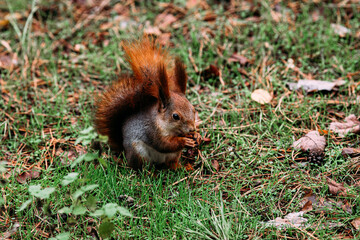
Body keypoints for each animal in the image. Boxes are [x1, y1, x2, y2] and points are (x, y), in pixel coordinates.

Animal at [95, 37, 197, 169]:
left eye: (193, 109)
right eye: (175, 116)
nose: (192, 129)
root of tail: (125, 153)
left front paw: (195, 136)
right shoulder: (151, 130)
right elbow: (163, 145)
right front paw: (184, 141)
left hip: (174, 155)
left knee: (171, 164)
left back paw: (183, 167)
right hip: (138, 152)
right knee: (139, 167)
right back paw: (149, 171)